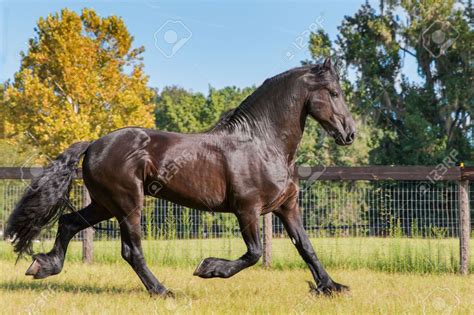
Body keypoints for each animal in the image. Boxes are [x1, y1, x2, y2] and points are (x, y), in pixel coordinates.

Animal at [6, 58, 356, 296]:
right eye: (334, 93)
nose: (350, 134)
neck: (262, 143)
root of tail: (93, 144)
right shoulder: (247, 209)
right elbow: (255, 253)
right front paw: (208, 268)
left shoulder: (287, 207)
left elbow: (306, 247)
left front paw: (331, 286)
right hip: (128, 204)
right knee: (131, 251)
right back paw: (162, 291)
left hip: (105, 205)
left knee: (68, 223)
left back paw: (43, 266)